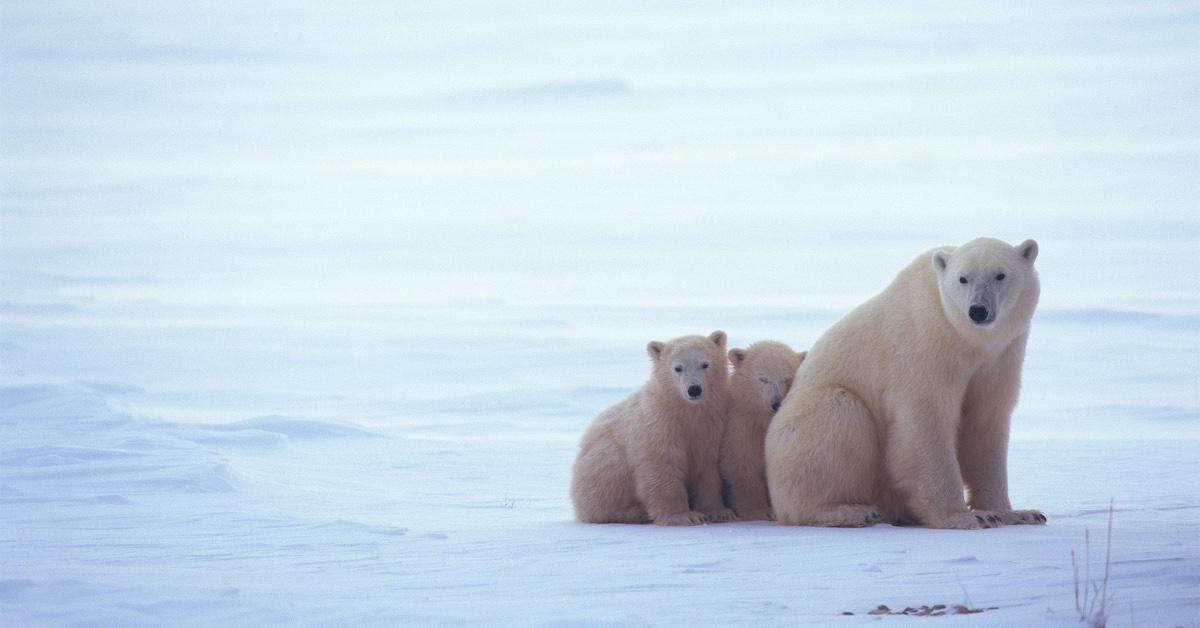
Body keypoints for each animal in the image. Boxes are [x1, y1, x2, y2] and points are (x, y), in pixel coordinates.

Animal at [768, 238, 1041, 528]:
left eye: (1000, 275)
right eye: (963, 278)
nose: (978, 310)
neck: (965, 339)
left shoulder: (1001, 357)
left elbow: (986, 422)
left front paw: (1016, 513)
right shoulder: (925, 345)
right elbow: (926, 423)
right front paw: (966, 517)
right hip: (804, 425)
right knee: (839, 413)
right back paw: (852, 511)